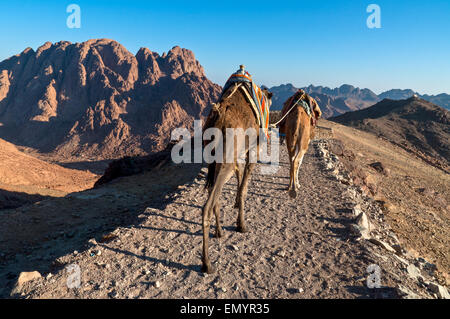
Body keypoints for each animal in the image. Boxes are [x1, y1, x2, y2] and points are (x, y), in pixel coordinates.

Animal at [201, 72, 272, 276]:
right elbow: (244, 189)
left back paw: (219, 232)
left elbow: (240, 179)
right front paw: (241, 224)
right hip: (225, 159)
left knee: (214, 195)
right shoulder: (253, 150)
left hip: (216, 160)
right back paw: (207, 263)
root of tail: (218, 118)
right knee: (207, 206)